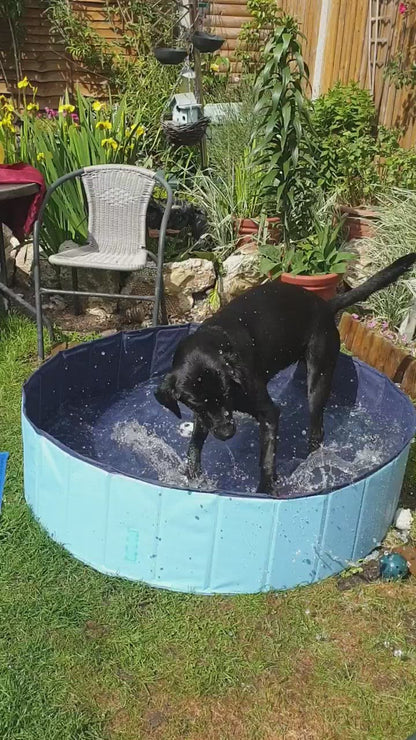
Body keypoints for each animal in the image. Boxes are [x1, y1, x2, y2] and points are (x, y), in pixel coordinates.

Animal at [154, 256, 416, 498]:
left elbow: (266, 458)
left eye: (226, 392)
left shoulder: (268, 413)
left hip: (318, 379)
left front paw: (265, 488)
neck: (217, 342)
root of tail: (325, 305)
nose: (227, 433)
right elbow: (194, 445)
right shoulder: (204, 417)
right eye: (196, 403)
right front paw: (193, 475)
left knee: (317, 431)